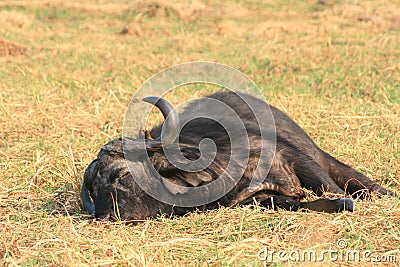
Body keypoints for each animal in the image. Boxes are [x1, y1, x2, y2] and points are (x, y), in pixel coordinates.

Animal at [81, 92, 394, 222]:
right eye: (94, 190)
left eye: (120, 175)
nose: (104, 217)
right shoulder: (260, 199)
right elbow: (303, 204)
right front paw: (337, 205)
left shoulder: (296, 158)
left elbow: (330, 187)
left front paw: (347, 200)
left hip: (318, 153)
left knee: (355, 178)